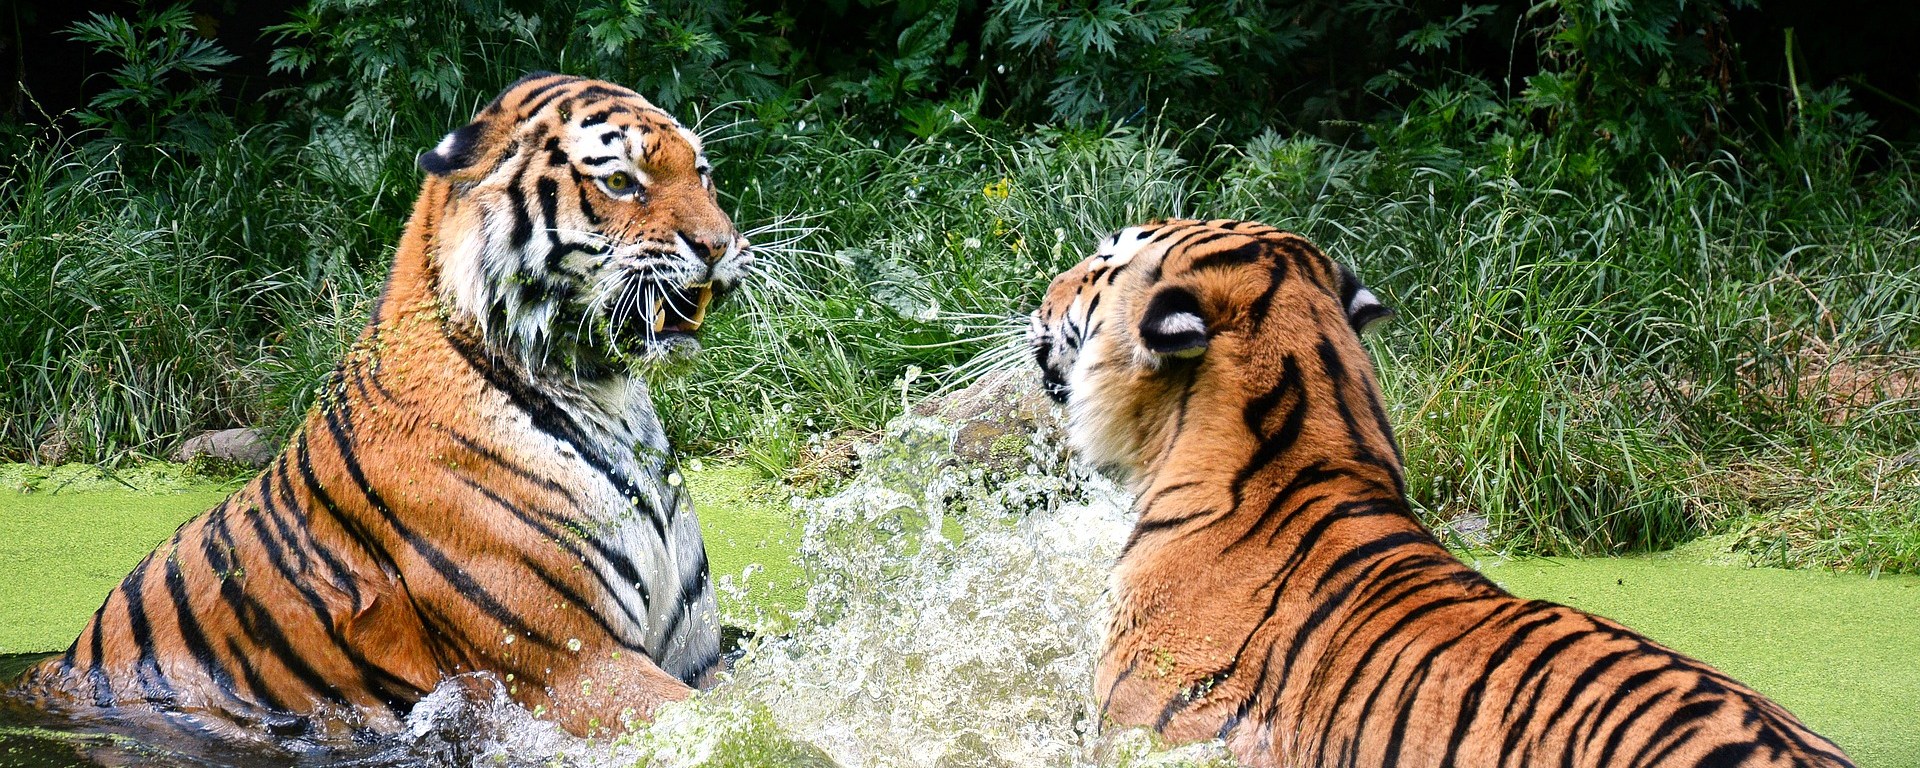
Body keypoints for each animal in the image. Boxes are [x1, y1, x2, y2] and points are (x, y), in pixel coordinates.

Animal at [7, 72, 751, 746]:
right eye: (621, 181)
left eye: (703, 174)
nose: (720, 246)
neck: (607, 396)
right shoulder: (578, 668)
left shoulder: (696, 659)